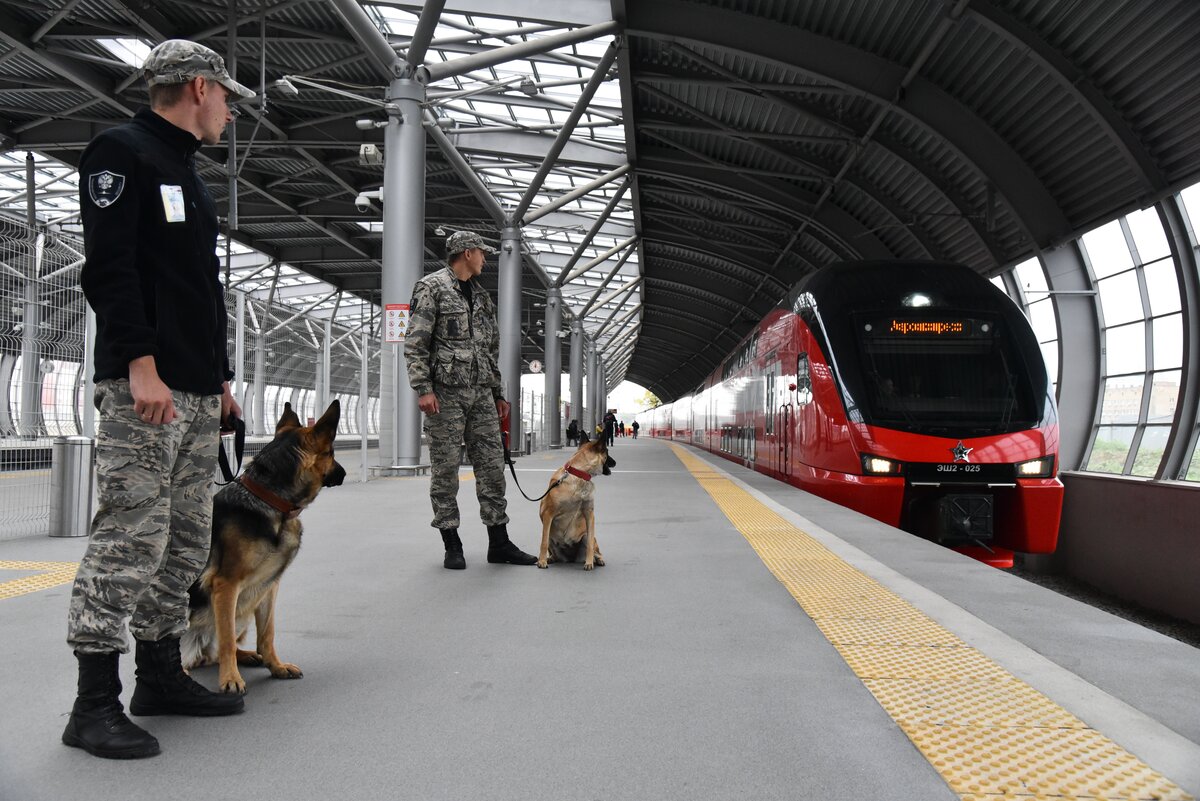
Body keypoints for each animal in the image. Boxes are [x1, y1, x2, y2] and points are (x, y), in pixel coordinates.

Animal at [182, 400, 345, 695]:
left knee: (215, 652)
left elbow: (267, 633)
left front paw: (276, 666)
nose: (344, 473)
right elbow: (225, 640)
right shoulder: (226, 584)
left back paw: (246, 655)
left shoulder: (269, 585)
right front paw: (230, 679)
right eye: (331, 452)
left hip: (243, 611)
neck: (268, 500)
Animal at [537, 434, 614, 573]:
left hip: (585, 537)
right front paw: (542, 561)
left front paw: (589, 562)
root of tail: (571, 558)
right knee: (551, 547)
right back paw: (550, 558)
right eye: (607, 452)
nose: (615, 462)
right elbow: (543, 542)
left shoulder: (589, 514)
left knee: (596, 549)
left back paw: (598, 560)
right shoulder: (548, 514)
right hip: (551, 537)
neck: (578, 475)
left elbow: (590, 543)